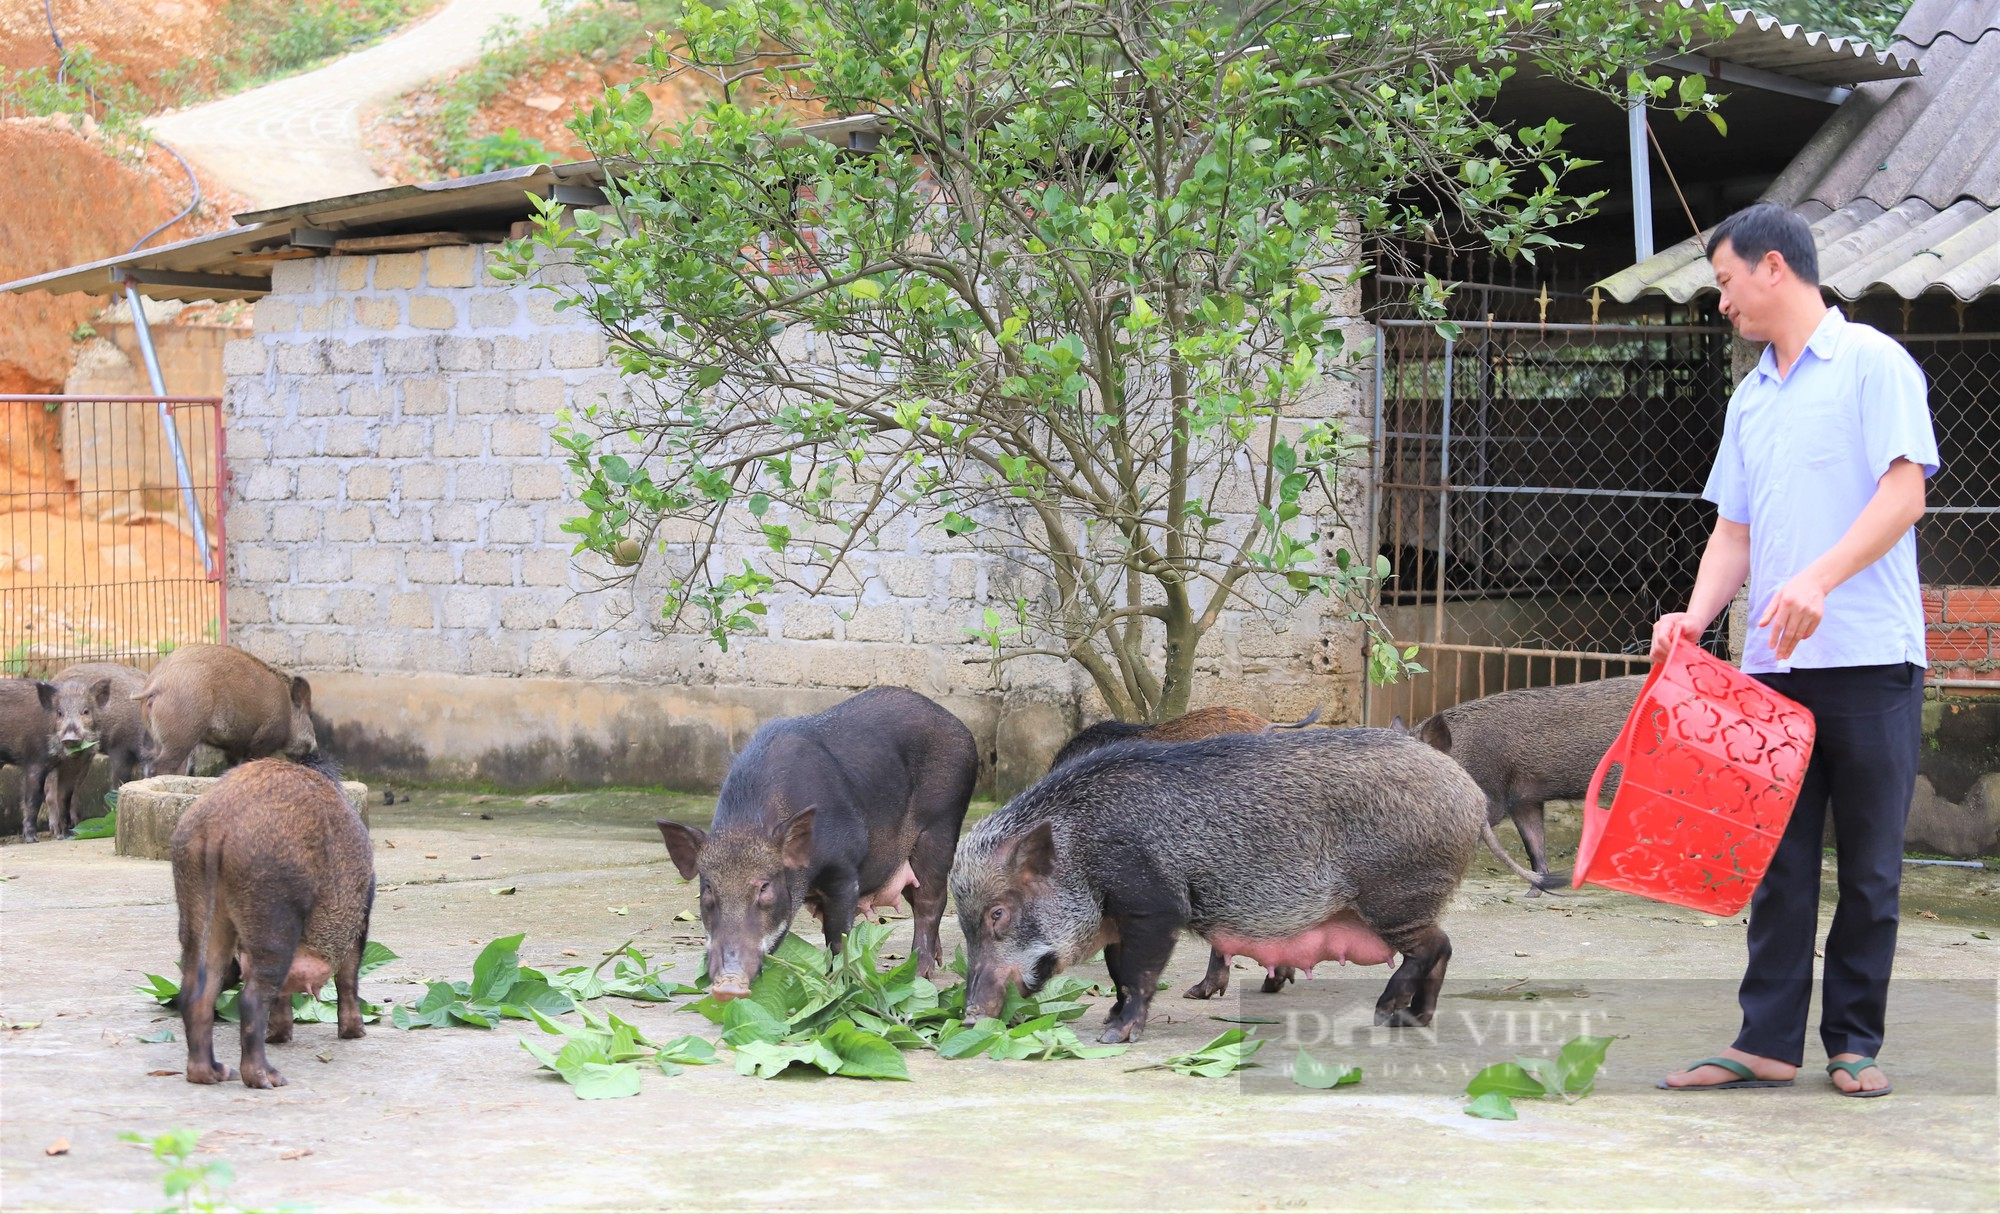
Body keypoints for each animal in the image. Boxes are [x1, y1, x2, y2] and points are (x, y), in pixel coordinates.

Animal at [656, 688, 976, 1004]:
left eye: (764, 886)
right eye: (708, 887)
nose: (728, 985)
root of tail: (959, 726)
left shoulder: (845, 867)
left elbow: (838, 936)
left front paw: (838, 988)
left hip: (941, 824)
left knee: (930, 902)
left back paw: (920, 974)